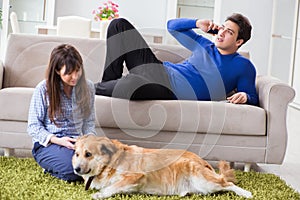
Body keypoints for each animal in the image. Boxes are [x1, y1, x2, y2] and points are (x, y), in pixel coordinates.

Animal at [72, 134, 253, 198]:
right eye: (77, 154)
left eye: (88, 154)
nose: (76, 169)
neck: (109, 163)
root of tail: (203, 161)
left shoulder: (136, 176)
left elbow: (112, 186)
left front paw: (100, 194)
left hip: (203, 180)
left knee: (227, 183)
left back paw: (246, 193)